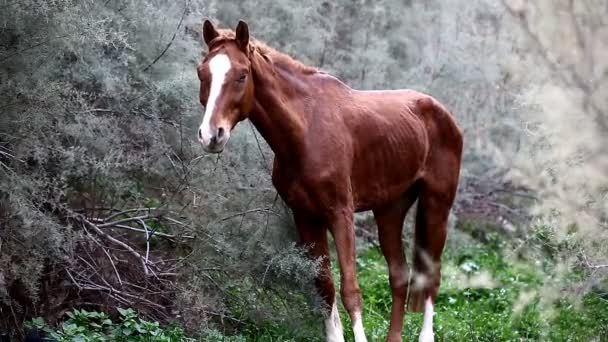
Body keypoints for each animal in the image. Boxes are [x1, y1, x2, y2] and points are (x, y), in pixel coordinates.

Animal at [197, 20, 464, 342]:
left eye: (241, 75)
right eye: (202, 73)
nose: (212, 135)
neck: (306, 129)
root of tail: (442, 113)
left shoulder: (340, 213)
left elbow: (351, 290)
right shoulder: (306, 217)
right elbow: (324, 287)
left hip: (436, 205)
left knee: (431, 277)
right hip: (390, 210)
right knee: (399, 275)